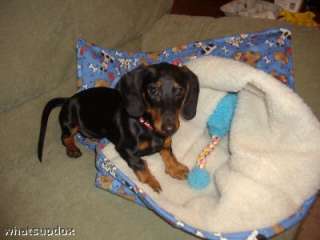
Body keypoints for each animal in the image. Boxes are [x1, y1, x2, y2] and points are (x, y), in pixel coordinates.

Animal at [37, 62, 198, 192]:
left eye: (179, 90)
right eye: (153, 90)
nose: (170, 128)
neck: (146, 125)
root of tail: (69, 99)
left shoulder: (165, 142)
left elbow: (168, 153)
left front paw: (175, 169)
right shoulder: (125, 149)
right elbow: (140, 164)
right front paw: (151, 181)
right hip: (70, 120)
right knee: (65, 136)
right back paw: (72, 149)